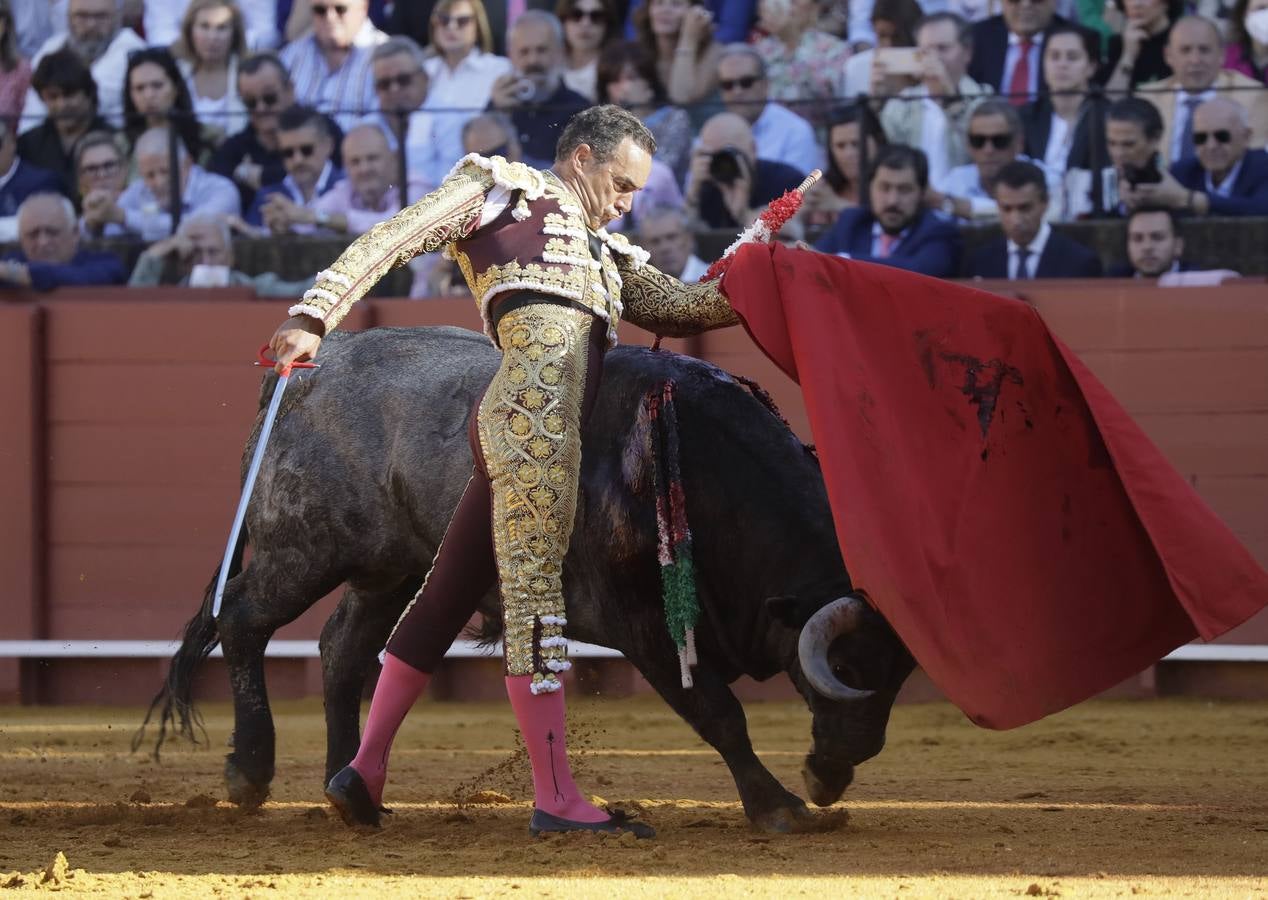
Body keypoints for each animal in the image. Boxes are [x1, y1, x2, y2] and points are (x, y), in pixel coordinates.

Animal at [141, 327, 912, 836]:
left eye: (897, 677)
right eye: (845, 668)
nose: (839, 765)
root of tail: (304, 372)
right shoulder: (646, 628)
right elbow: (718, 712)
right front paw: (779, 806)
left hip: (393, 569)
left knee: (345, 651)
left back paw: (351, 786)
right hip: (301, 550)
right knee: (243, 621)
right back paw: (250, 772)